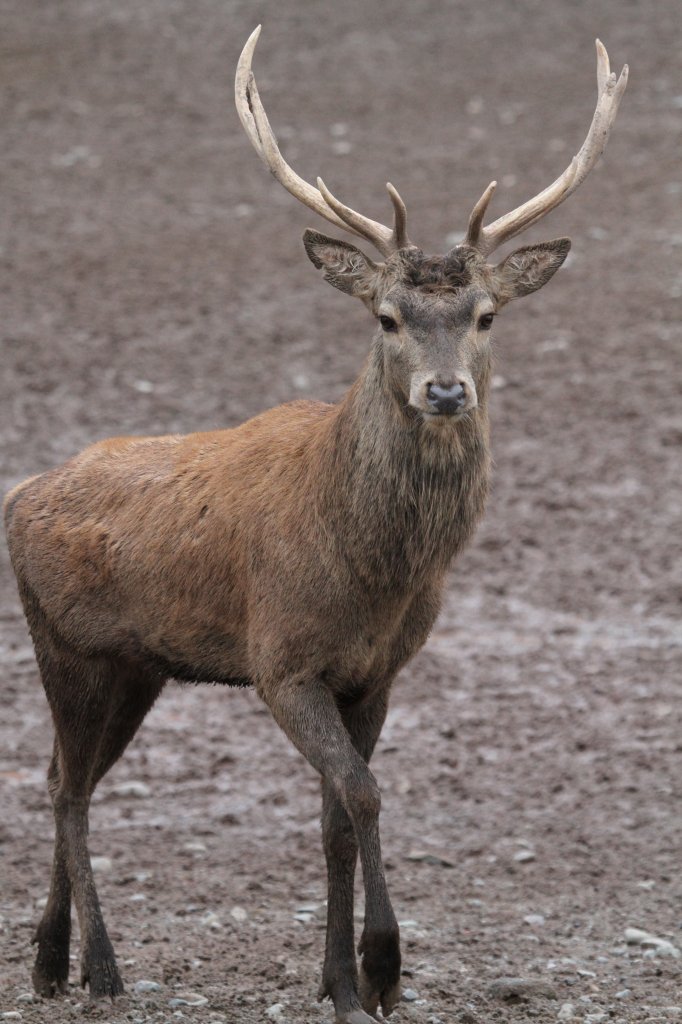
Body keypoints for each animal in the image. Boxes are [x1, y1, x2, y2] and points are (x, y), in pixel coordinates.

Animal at [5, 29, 622, 1024]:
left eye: (486, 315)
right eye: (388, 315)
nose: (445, 390)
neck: (373, 569)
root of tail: (22, 494)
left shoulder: (377, 673)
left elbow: (334, 813)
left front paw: (336, 979)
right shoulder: (281, 661)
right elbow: (362, 795)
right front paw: (380, 967)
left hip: (136, 667)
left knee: (66, 774)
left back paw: (50, 960)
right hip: (66, 645)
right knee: (68, 788)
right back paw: (100, 967)